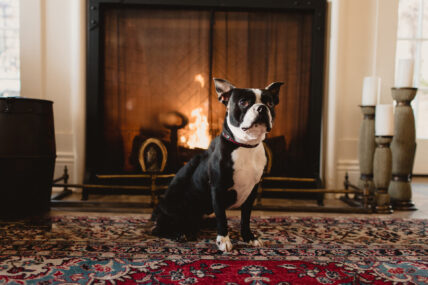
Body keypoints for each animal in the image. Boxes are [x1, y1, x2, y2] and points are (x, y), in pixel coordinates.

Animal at [152, 77, 282, 251]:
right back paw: (179, 234)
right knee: (160, 228)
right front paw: (224, 240)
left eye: (270, 103)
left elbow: (245, 218)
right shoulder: (218, 188)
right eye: (243, 102)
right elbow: (222, 217)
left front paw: (249, 237)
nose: (261, 108)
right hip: (175, 207)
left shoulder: (252, 191)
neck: (245, 145)